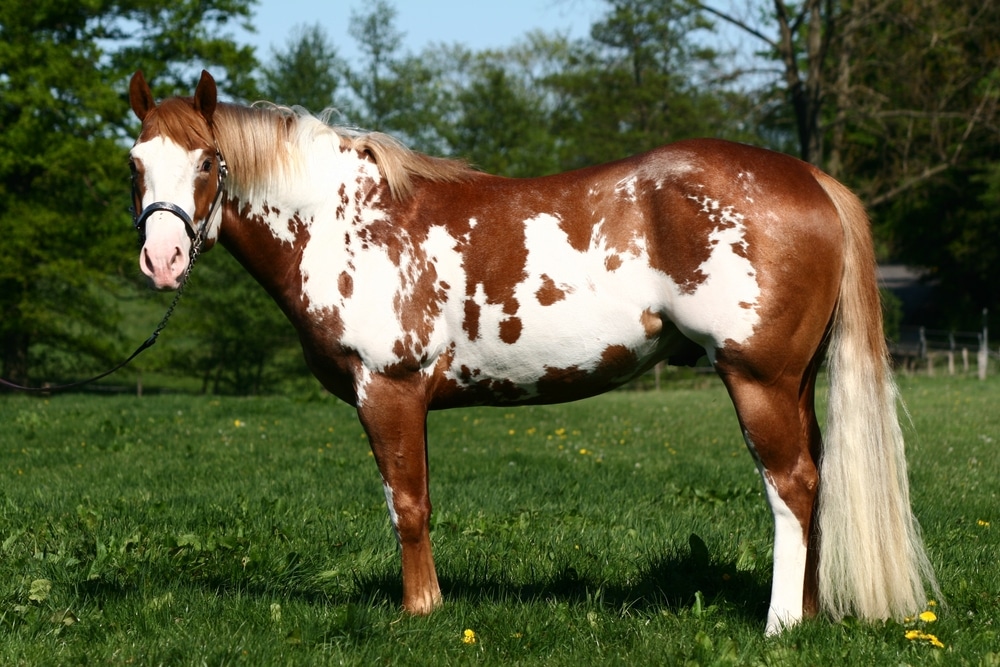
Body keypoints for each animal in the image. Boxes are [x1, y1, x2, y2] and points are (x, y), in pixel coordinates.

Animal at [125, 70, 936, 636]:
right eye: (135, 163)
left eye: (207, 162)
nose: (161, 260)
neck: (346, 220)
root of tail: (809, 179)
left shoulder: (388, 389)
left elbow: (408, 505)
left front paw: (421, 611)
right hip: (793, 381)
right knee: (816, 478)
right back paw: (810, 615)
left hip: (758, 378)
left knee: (791, 486)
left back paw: (780, 624)